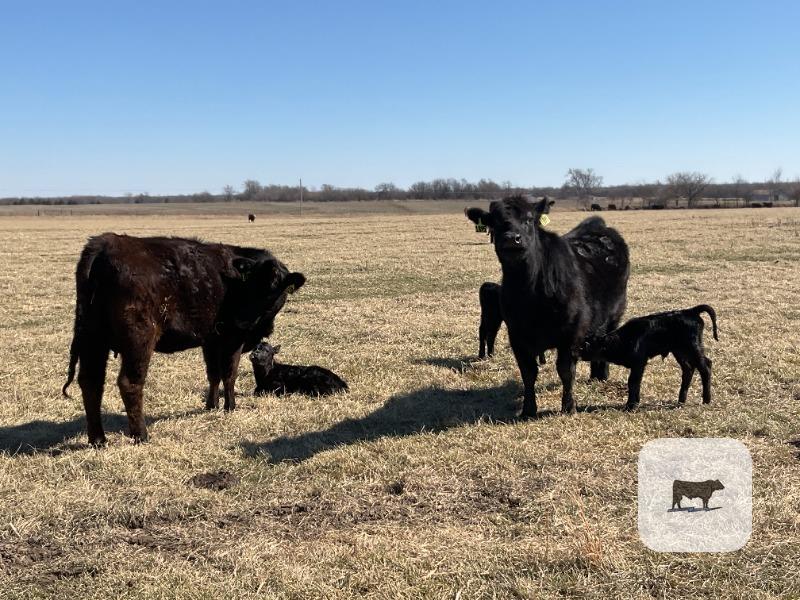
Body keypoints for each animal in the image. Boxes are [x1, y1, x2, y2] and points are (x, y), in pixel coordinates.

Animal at [62, 233, 305, 445]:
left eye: (276, 287)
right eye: (255, 283)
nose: (242, 320)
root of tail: (103, 244)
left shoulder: (211, 339)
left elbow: (213, 373)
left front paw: (211, 405)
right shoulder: (233, 337)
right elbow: (230, 373)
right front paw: (231, 407)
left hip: (92, 338)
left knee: (91, 382)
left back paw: (98, 439)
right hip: (138, 340)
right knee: (129, 383)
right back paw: (141, 435)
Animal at [465, 196, 629, 418]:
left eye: (528, 219)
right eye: (495, 222)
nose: (511, 238)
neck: (531, 292)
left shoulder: (571, 333)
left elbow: (566, 371)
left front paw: (568, 407)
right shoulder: (517, 335)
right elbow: (528, 372)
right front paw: (528, 410)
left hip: (614, 314)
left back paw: (600, 375)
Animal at [581, 305, 718, 409]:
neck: (620, 340)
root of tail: (690, 311)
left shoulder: (639, 363)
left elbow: (633, 382)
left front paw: (631, 405)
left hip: (693, 348)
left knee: (706, 366)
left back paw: (706, 400)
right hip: (679, 352)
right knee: (688, 369)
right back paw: (681, 401)